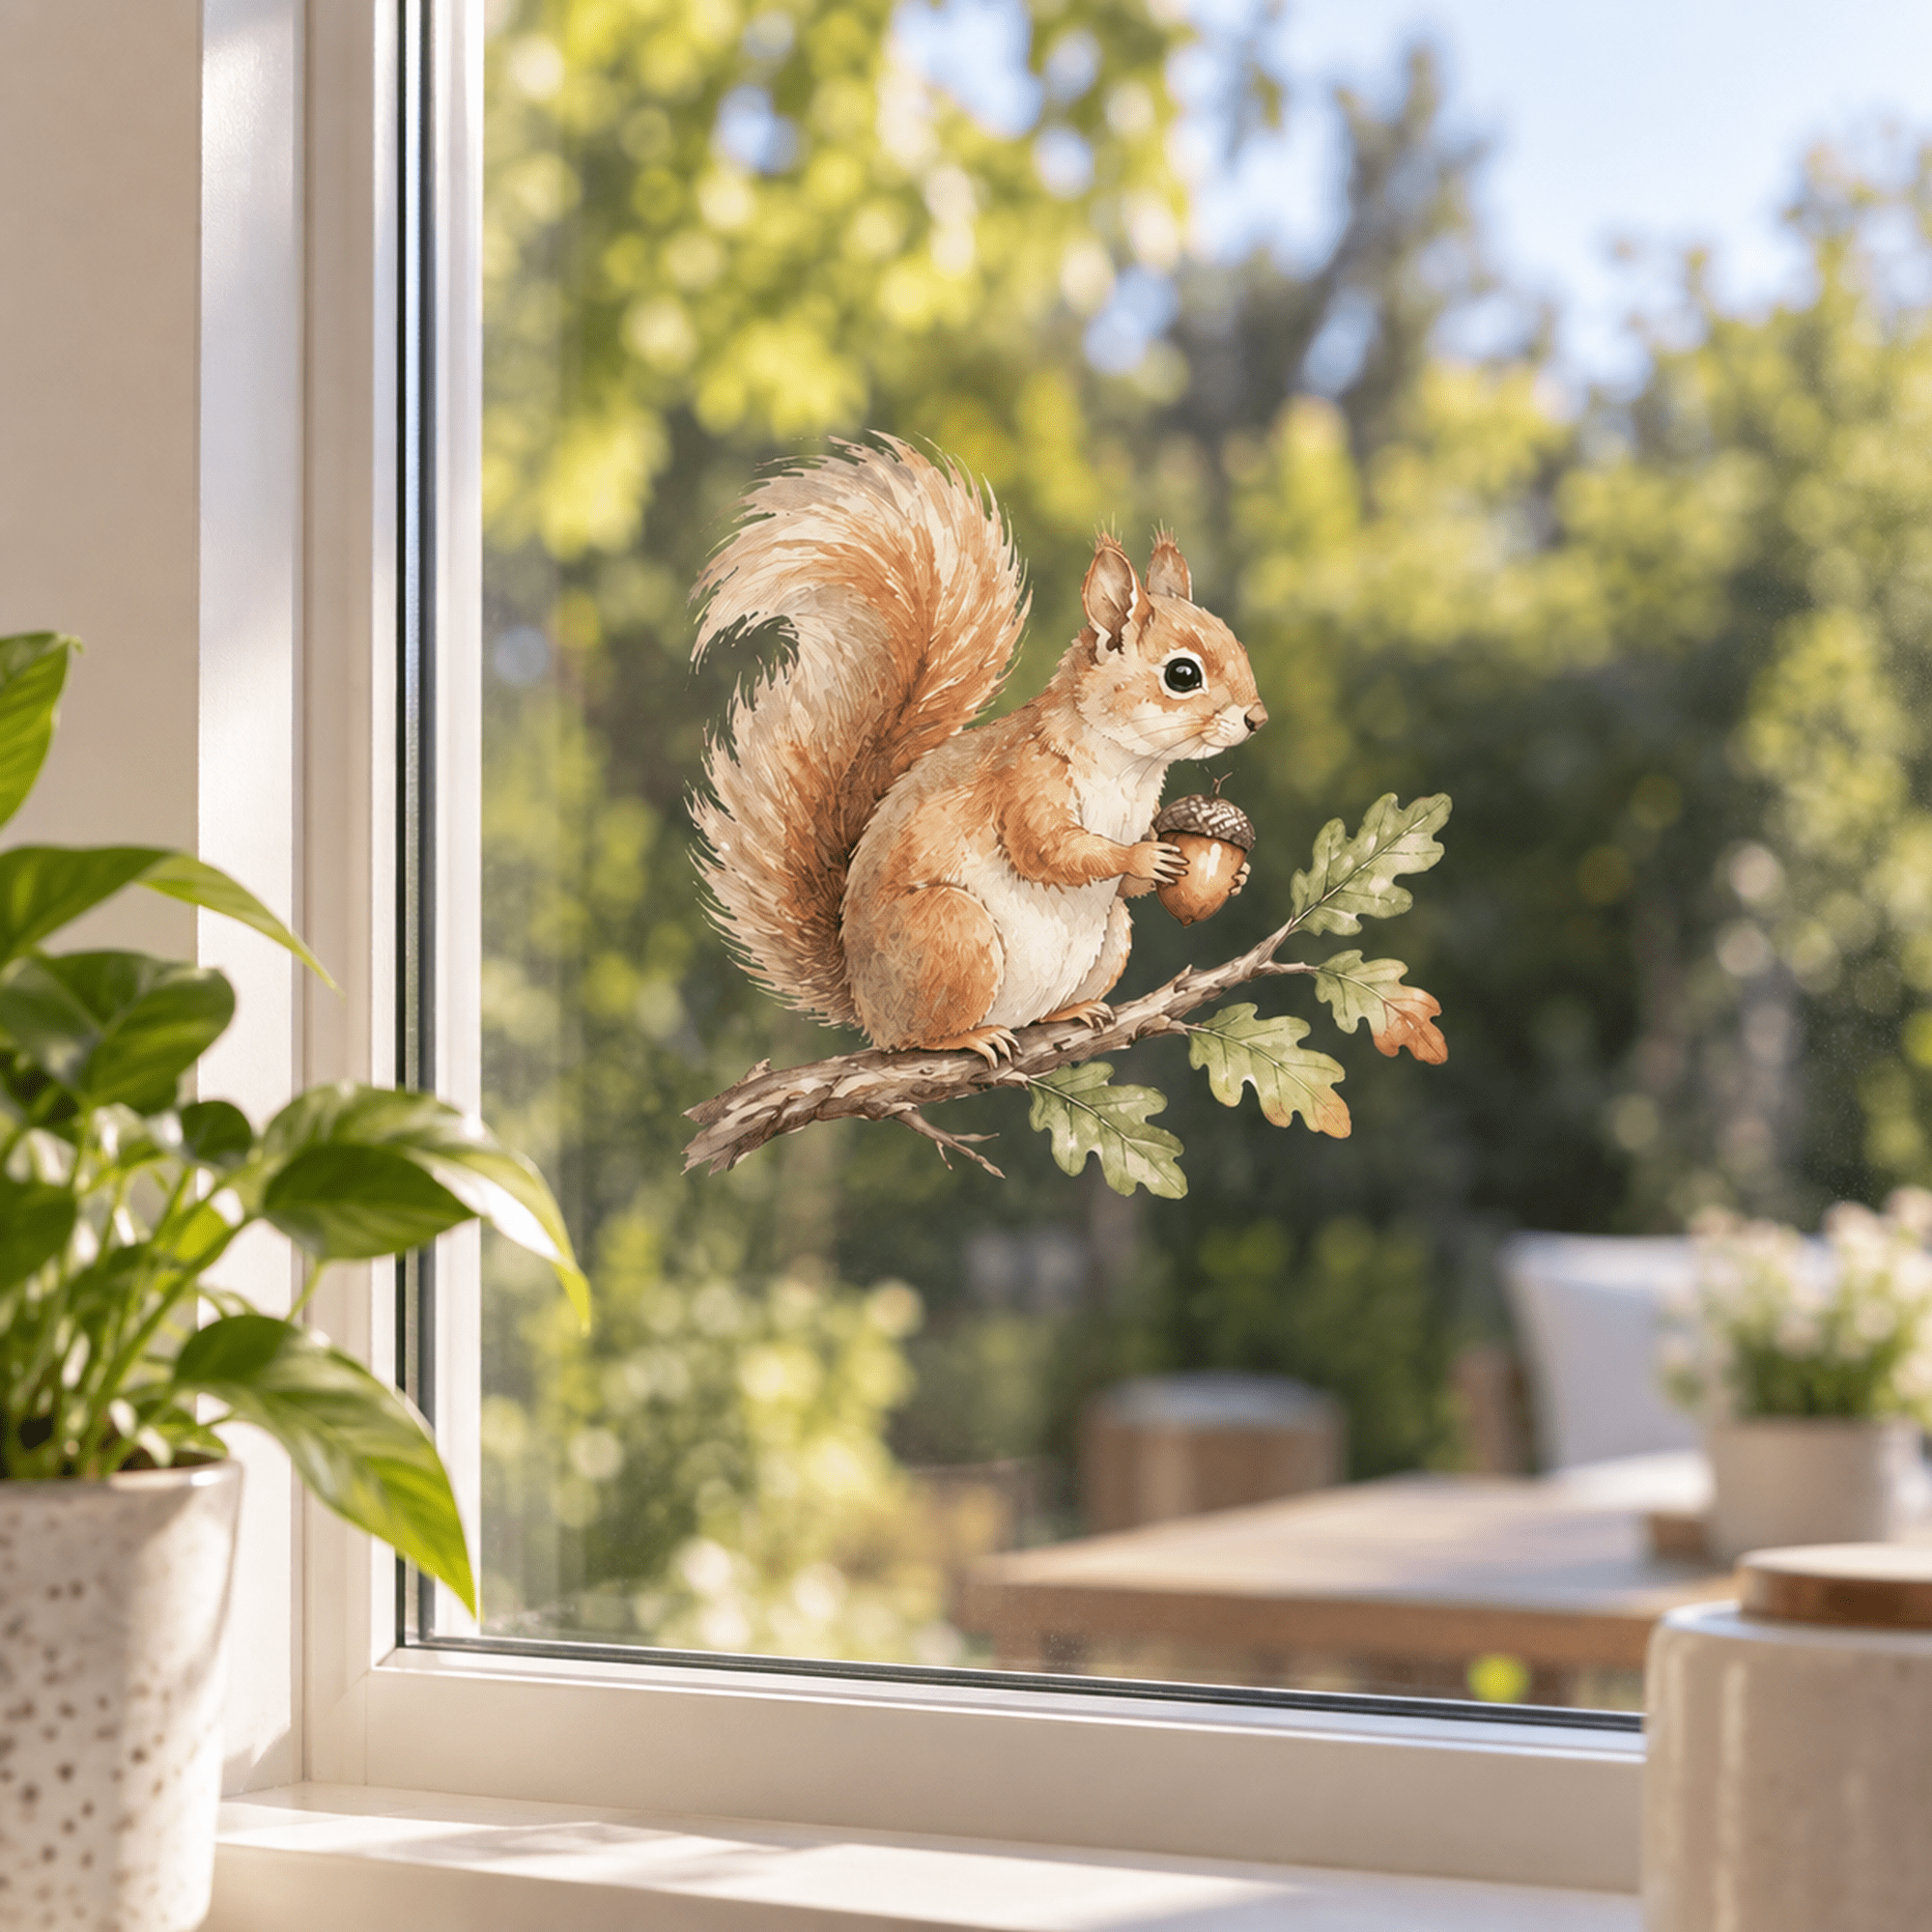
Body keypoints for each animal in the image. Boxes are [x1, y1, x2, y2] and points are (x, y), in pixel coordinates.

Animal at [690, 438, 1268, 1067]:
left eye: (1238, 644)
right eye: (1182, 674)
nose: (1257, 718)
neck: (1129, 768)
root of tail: (867, 1008)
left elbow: (1120, 887)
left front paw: (1234, 877)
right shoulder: (1027, 779)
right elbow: (1049, 850)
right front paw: (1140, 857)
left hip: (1107, 936)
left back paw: (1072, 1011)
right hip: (954, 933)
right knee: (920, 1036)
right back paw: (969, 1036)